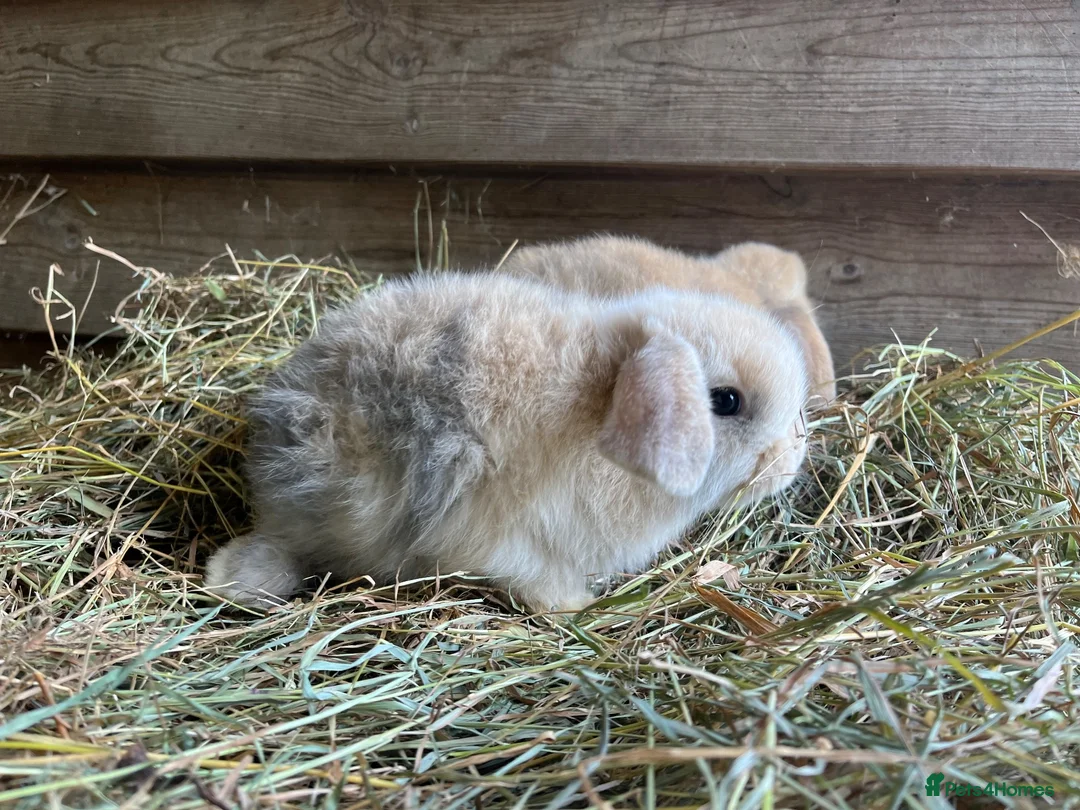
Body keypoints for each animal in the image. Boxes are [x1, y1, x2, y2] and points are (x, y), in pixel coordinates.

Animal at [204, 270, 809, 612]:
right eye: (726, 401)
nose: (793, 460)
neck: (599, 404)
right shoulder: (526, 541)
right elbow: (544, 589)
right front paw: (585, 609)